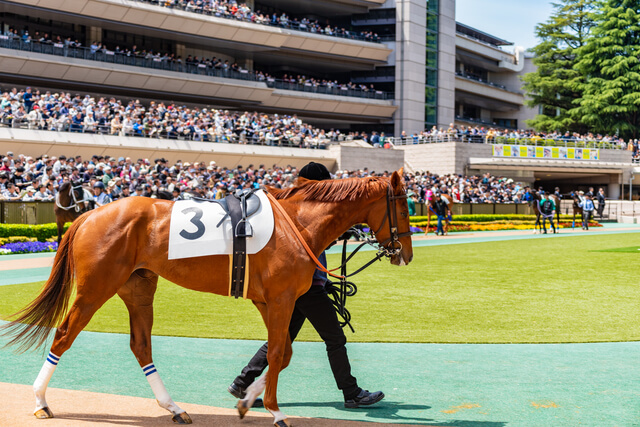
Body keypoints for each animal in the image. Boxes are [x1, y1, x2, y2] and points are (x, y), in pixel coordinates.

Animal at [1, 170, 413, 427]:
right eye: (403, 204)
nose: (406, 253)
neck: (296, 222)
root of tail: (87, 216)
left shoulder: (271, 301)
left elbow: (280, 352)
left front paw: (247, 398)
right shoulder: (280, 299)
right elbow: (279, 353)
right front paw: (275, 412)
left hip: (138, 288)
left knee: (141, 345)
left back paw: (174, 407)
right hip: (94, 288)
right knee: (64, 334)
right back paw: (40, 402)